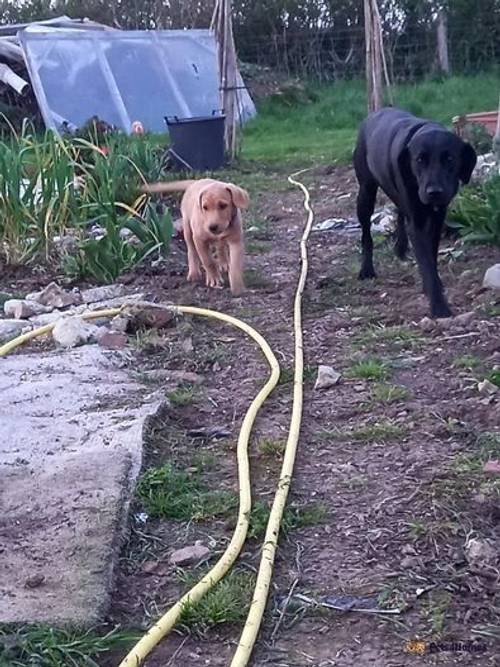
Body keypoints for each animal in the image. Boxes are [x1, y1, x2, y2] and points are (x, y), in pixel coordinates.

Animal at [352, 106, 476, 318]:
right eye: (419, 160)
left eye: (450, 158)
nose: (434, 192)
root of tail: (376, 112)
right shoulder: (417, 223)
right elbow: (425, 260)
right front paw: (439, 307)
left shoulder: (437, 218)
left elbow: (431, 255)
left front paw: (433, 285)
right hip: (365, 193)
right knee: (366, 233)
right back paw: (367, 269)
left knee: (400, 212)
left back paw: (400, 248)